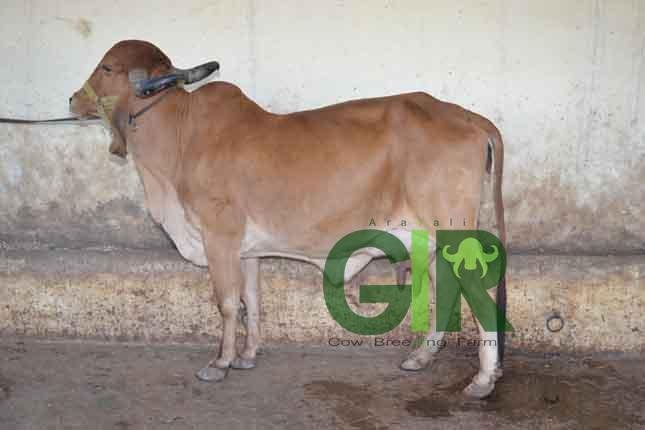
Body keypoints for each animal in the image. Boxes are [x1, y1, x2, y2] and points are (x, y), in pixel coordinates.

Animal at [69, 40, 507, 399]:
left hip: (453, 235)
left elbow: (226, 302)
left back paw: (483, 380)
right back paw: (421, 358)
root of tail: (467, 117)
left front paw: (219, 363)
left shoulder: (219, 235)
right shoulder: (247, 251)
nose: (72, 99)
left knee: (479, 296)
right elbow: (251, 300)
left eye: (107, 67)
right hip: (430, 242)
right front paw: (247, 355)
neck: (180, 136)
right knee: (447, 293)